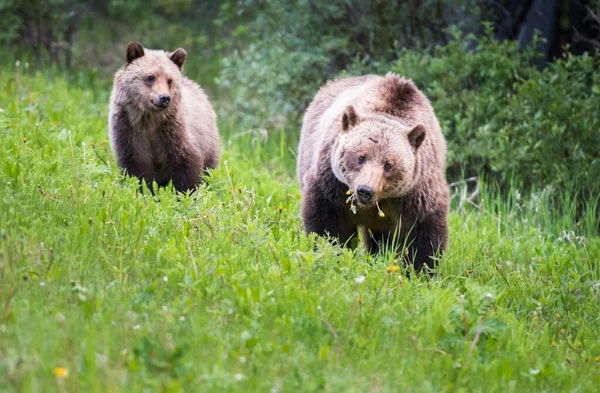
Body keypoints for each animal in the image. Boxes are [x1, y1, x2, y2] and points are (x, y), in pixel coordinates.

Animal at [108, 41, 220, 193]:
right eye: (150, 77)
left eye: (169, 80)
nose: (164, 98)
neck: (149, 119)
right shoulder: (129, 131)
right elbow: (137, 169)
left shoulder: (172, 132)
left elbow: (186, 165)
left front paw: (187, 193)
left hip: (208, 140)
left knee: (209, 169)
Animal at [298, 72, 448, 270]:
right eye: (361, 157)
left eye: (388, 165)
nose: (365, 190)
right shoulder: (332, 183)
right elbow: (327, 224)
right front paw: (330, 253)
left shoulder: (417, 193)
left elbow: (425, 235)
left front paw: (420, 269)